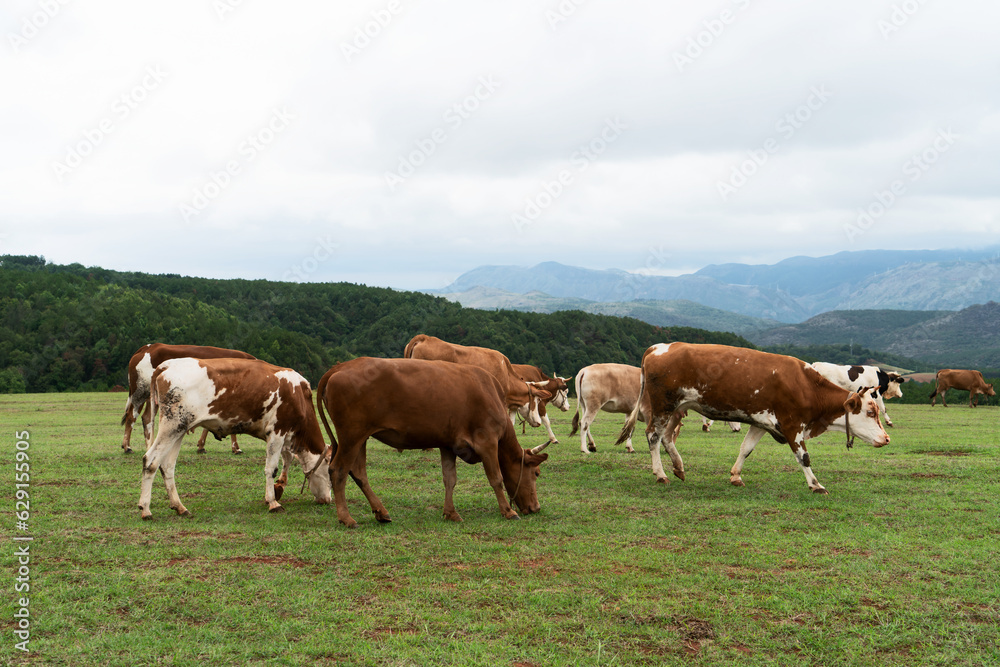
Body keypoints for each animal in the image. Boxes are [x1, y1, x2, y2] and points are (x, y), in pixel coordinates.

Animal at [120, 344, 254, 454]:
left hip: (152, 396)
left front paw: (201, 446)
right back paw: (127, 447)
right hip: (139, 391)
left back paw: (149, 446)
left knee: (146, 417)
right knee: (132, 416)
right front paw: (236, 448)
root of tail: (149, 347)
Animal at [138, 360, 332, 520]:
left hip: (179, 429)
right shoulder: (277, 432)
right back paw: (146, 509)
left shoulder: (283, 437)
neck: (298, 394)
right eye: (330, 471)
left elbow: (287, 460)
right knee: (151, 461)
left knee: (167, 466)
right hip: (172, 425)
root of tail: (166, 365)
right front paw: (273, 502)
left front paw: (277, 490)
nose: (328, 500)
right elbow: (271, 468)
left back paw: (179, 506)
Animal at [316, 358, 548, 528]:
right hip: (351, 437)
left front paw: (451, 513)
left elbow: (450, 479)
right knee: (338, 470)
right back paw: (346, 518)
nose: (536, 508)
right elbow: (496, 478)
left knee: (358, 472)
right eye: (536, 473)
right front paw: (508, 511)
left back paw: (381, 512)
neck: (491, 392)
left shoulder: (448, 444)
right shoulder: (488, 442)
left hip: (360, 438)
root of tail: (342, 366)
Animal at [616, 344, 892, 496]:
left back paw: (678, 467)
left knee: (667, 437)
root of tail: (659, 347)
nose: (886, 438)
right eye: (870, 412)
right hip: (664, 406)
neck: (805, 385)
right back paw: (660, 473)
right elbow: (803, 457)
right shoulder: (791, 425)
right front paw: (816, 484)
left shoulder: (762, 424)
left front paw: (736, 476)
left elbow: (745, 449)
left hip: (677, 409)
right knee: (653, 436)